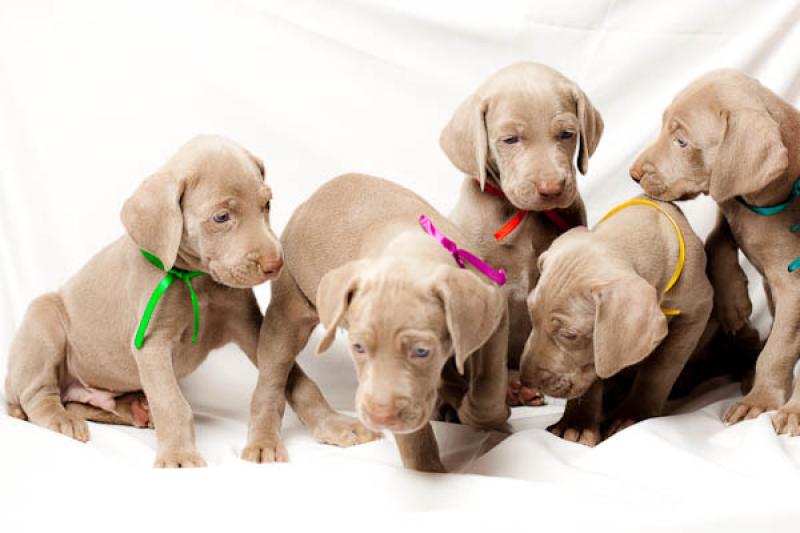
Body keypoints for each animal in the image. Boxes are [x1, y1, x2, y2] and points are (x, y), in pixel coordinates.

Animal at [6, 135, 304, 468]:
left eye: (267, 205)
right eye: (221, 217)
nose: (275, 264)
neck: (196, 279)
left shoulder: (250, 327)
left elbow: (288, 379)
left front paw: (271, 439)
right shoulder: (152, 343)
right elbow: (171, 402)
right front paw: (179, 456)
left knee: (85, 404)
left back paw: (135, 410)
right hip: (43, 322)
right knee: (38, 396)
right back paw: (63, 421)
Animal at [241, 174, 510, 470]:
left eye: (421, 351)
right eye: (358, 348)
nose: (381, 416)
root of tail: (310, 200)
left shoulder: (494, 312)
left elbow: (490, 380)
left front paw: (484, 415)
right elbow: (414, 435)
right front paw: (427, 469)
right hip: (287, 313)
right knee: (272, 377)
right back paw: (265, 440)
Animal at [636, 69, 800, 432]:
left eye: (682, 142)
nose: (634, 173)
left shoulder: (795, 289)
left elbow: (779, 349)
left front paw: (761, 402)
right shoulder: (731, 204)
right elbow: (717, 240)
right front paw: (733, 304)